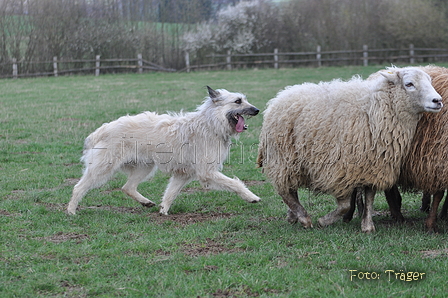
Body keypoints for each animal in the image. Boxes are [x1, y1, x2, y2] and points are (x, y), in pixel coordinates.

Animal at [68, 86, 260, 214]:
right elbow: (234, 183)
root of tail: (102, 130)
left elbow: (171, 193)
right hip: (103, 168)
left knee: (127, 187)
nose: (257, 110)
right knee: (78, 187)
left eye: (243, 99)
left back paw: (145, 202)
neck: (210, 123)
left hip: (144, 167)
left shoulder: (183, 174)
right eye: (238, 101)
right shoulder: (206, 172)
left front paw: (163, 211)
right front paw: (251, 197)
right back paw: (71, 210)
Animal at [258, 67, 442, 233]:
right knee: (284, 190)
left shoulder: (373, 165)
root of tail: (281, 96)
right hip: (283, 157)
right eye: (409, 84)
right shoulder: (340, 168)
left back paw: (293, 215)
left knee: (291, 189)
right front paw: (324, 221)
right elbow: (345, 205)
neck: (376, 109)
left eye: (430, 81)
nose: (438, 100)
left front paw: (367, 226)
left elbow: (369, 197)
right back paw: (304, 217)